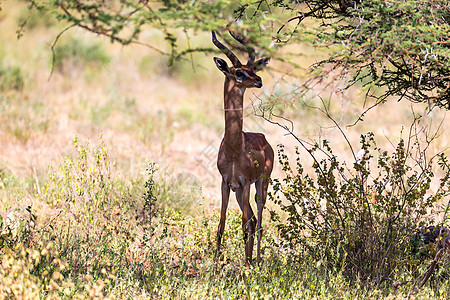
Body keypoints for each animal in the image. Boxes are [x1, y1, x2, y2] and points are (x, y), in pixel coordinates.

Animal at [212, 30, 274, 264]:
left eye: (254, 69)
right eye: (238, 71)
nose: (259, 80)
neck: (233, 150)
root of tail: (264, 139)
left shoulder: (245, 182)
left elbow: (245, 227)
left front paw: (246, 266)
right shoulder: (225, 183)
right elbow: (221, 225)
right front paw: (215, 264)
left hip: (261, 185)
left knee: (259, 222)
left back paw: (255, 262)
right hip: (239, 192)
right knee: (254, 221)